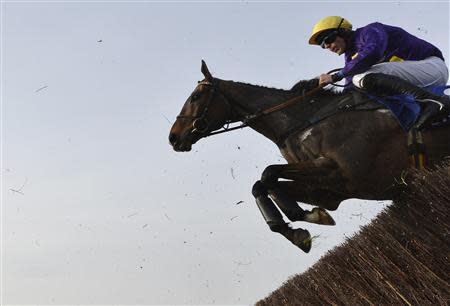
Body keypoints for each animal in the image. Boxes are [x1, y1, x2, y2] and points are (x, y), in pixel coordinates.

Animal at [168, 60, 450, 253]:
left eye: (196, 96)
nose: (173, 137)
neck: (303, 121)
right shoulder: (330, 191)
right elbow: (262, 184)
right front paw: (297, 228)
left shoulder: (344, 171)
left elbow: (268, 173)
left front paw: (302, 215)